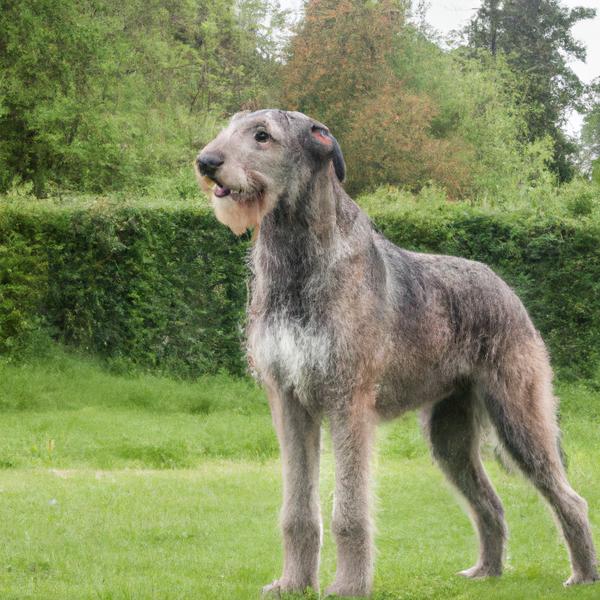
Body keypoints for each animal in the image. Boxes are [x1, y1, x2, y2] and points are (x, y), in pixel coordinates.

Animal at [197, 110, 596, 596]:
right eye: (228, 127)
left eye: (262, 136)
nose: (206, 161)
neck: (298, 257)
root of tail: (504, 286)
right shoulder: (288, 401)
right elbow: (297, 510)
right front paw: (293, 583)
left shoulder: (348, 401)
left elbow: (349, 510)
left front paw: (348, 587)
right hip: (449, 436)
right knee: (490, 503)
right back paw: (487, 570)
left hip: (519, 415)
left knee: (569, 497)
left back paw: (583, 574)